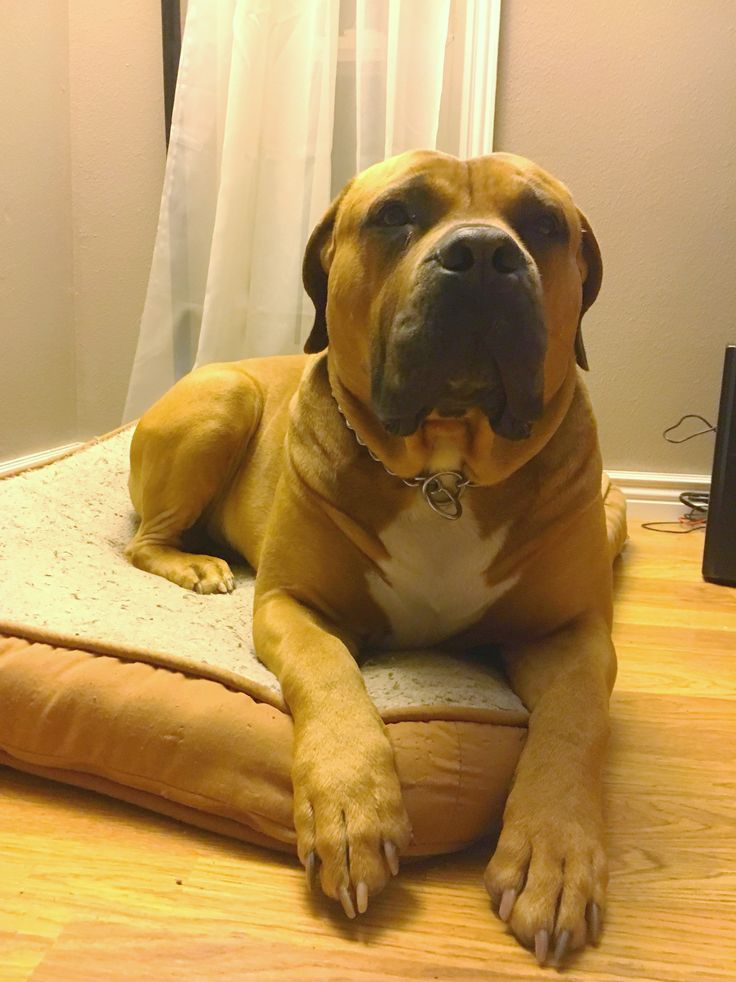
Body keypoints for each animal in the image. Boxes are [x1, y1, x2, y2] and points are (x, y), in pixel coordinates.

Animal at [125, 152, 616, 968]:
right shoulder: (292, 606)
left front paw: (556, 852)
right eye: (395, 215)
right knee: (141, 542)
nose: (483, 254)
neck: (445, 472)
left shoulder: (573, 635)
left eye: (544, 224)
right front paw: (353, 807)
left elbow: (575, 725)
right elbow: (330, 673)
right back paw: (196, 565)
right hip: (223, 399)